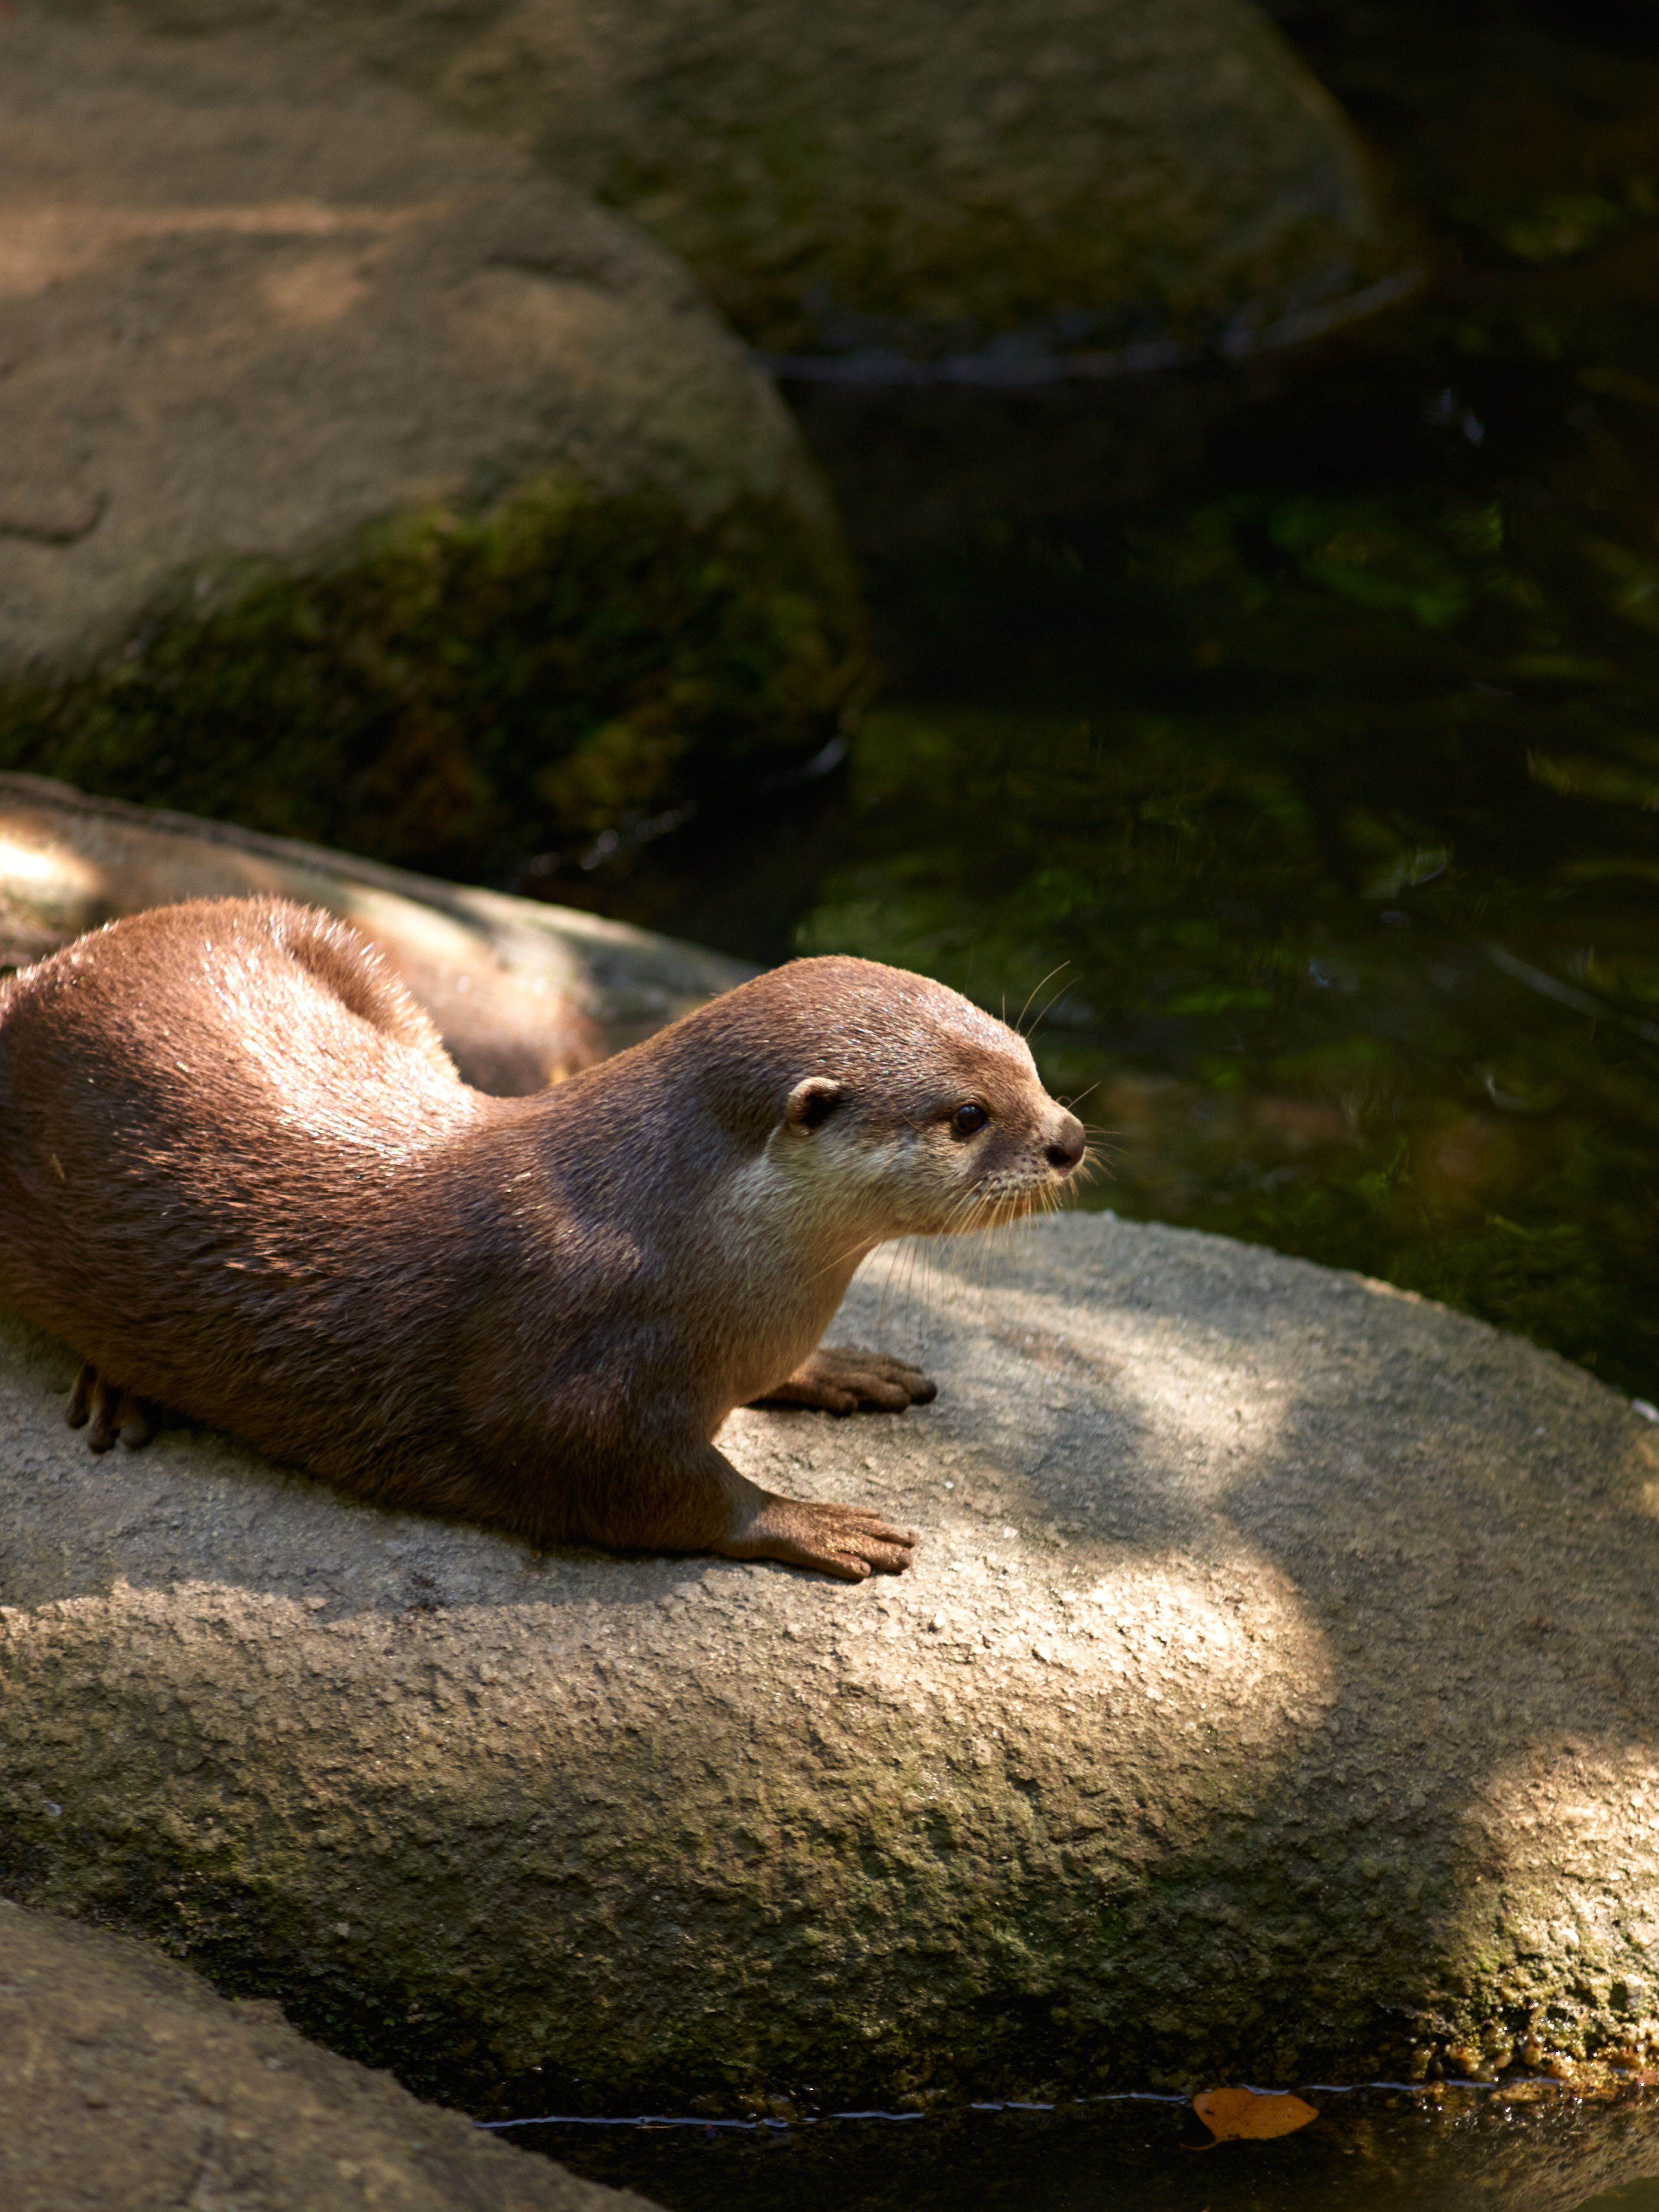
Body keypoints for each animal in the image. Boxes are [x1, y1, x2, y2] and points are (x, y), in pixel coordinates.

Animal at [0, 900, 1086, 1579]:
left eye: (1031, 1059)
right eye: (967, 1115)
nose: (1069, 1139)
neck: (690, 1246)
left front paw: (841, 1368)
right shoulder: (567, 1361)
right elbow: (637, 1483)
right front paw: (808, 1519)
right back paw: (114, 1384)